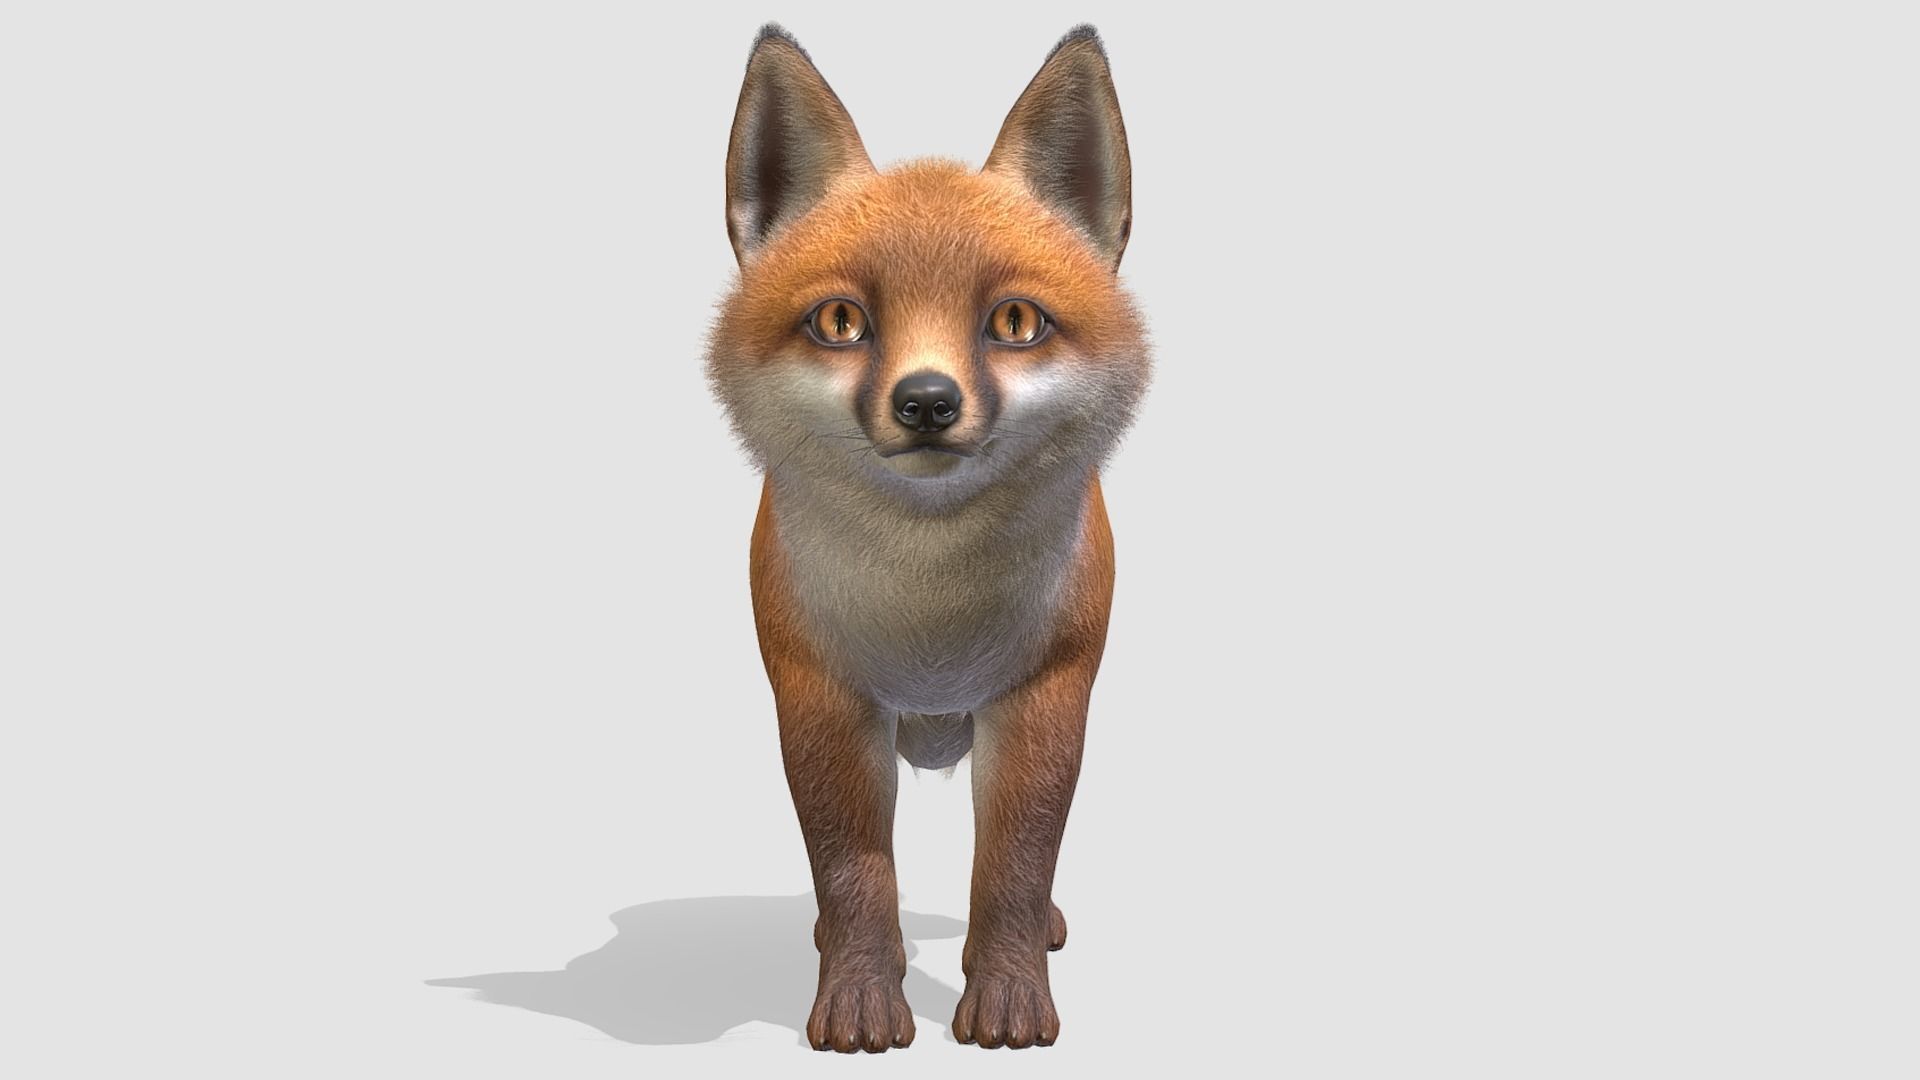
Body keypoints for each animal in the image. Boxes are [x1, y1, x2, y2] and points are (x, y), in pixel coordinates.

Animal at [702, 22, 1152, 1052]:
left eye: (1015, 321)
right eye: (841, 321)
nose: (928, 402)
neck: (930, 619)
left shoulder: (1046, 693)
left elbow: (1016, 866)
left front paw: (1010, 995)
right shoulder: (819, 697)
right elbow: (854, 871)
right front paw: (862, 995)